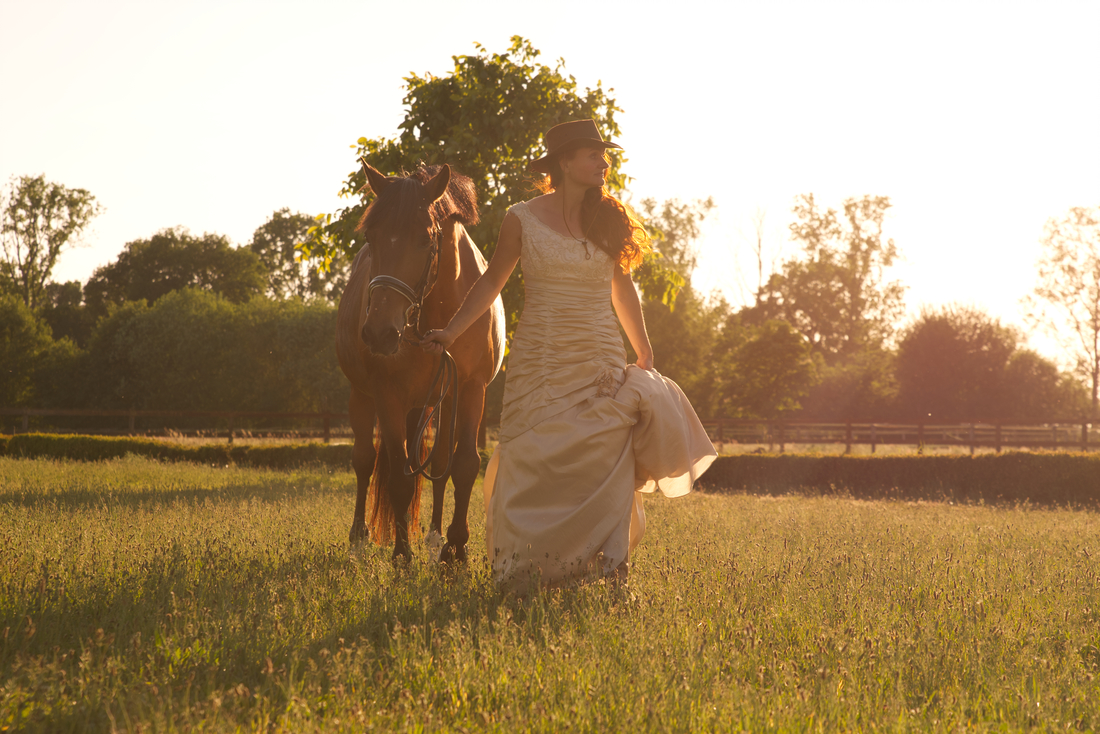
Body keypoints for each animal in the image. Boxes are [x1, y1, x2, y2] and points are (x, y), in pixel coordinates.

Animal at [336, 161, 503, 563]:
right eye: (371, 238)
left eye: (426, 240)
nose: (379, 333)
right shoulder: (387, 393)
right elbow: (399, 474)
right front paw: (401, 554)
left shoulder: (471, 389)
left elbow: (463, 465)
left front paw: (455, 547)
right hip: (363, 396)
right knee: (364, 460)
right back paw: (359, 538)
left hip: (432, 403)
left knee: (437, 464)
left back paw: (433, 536)